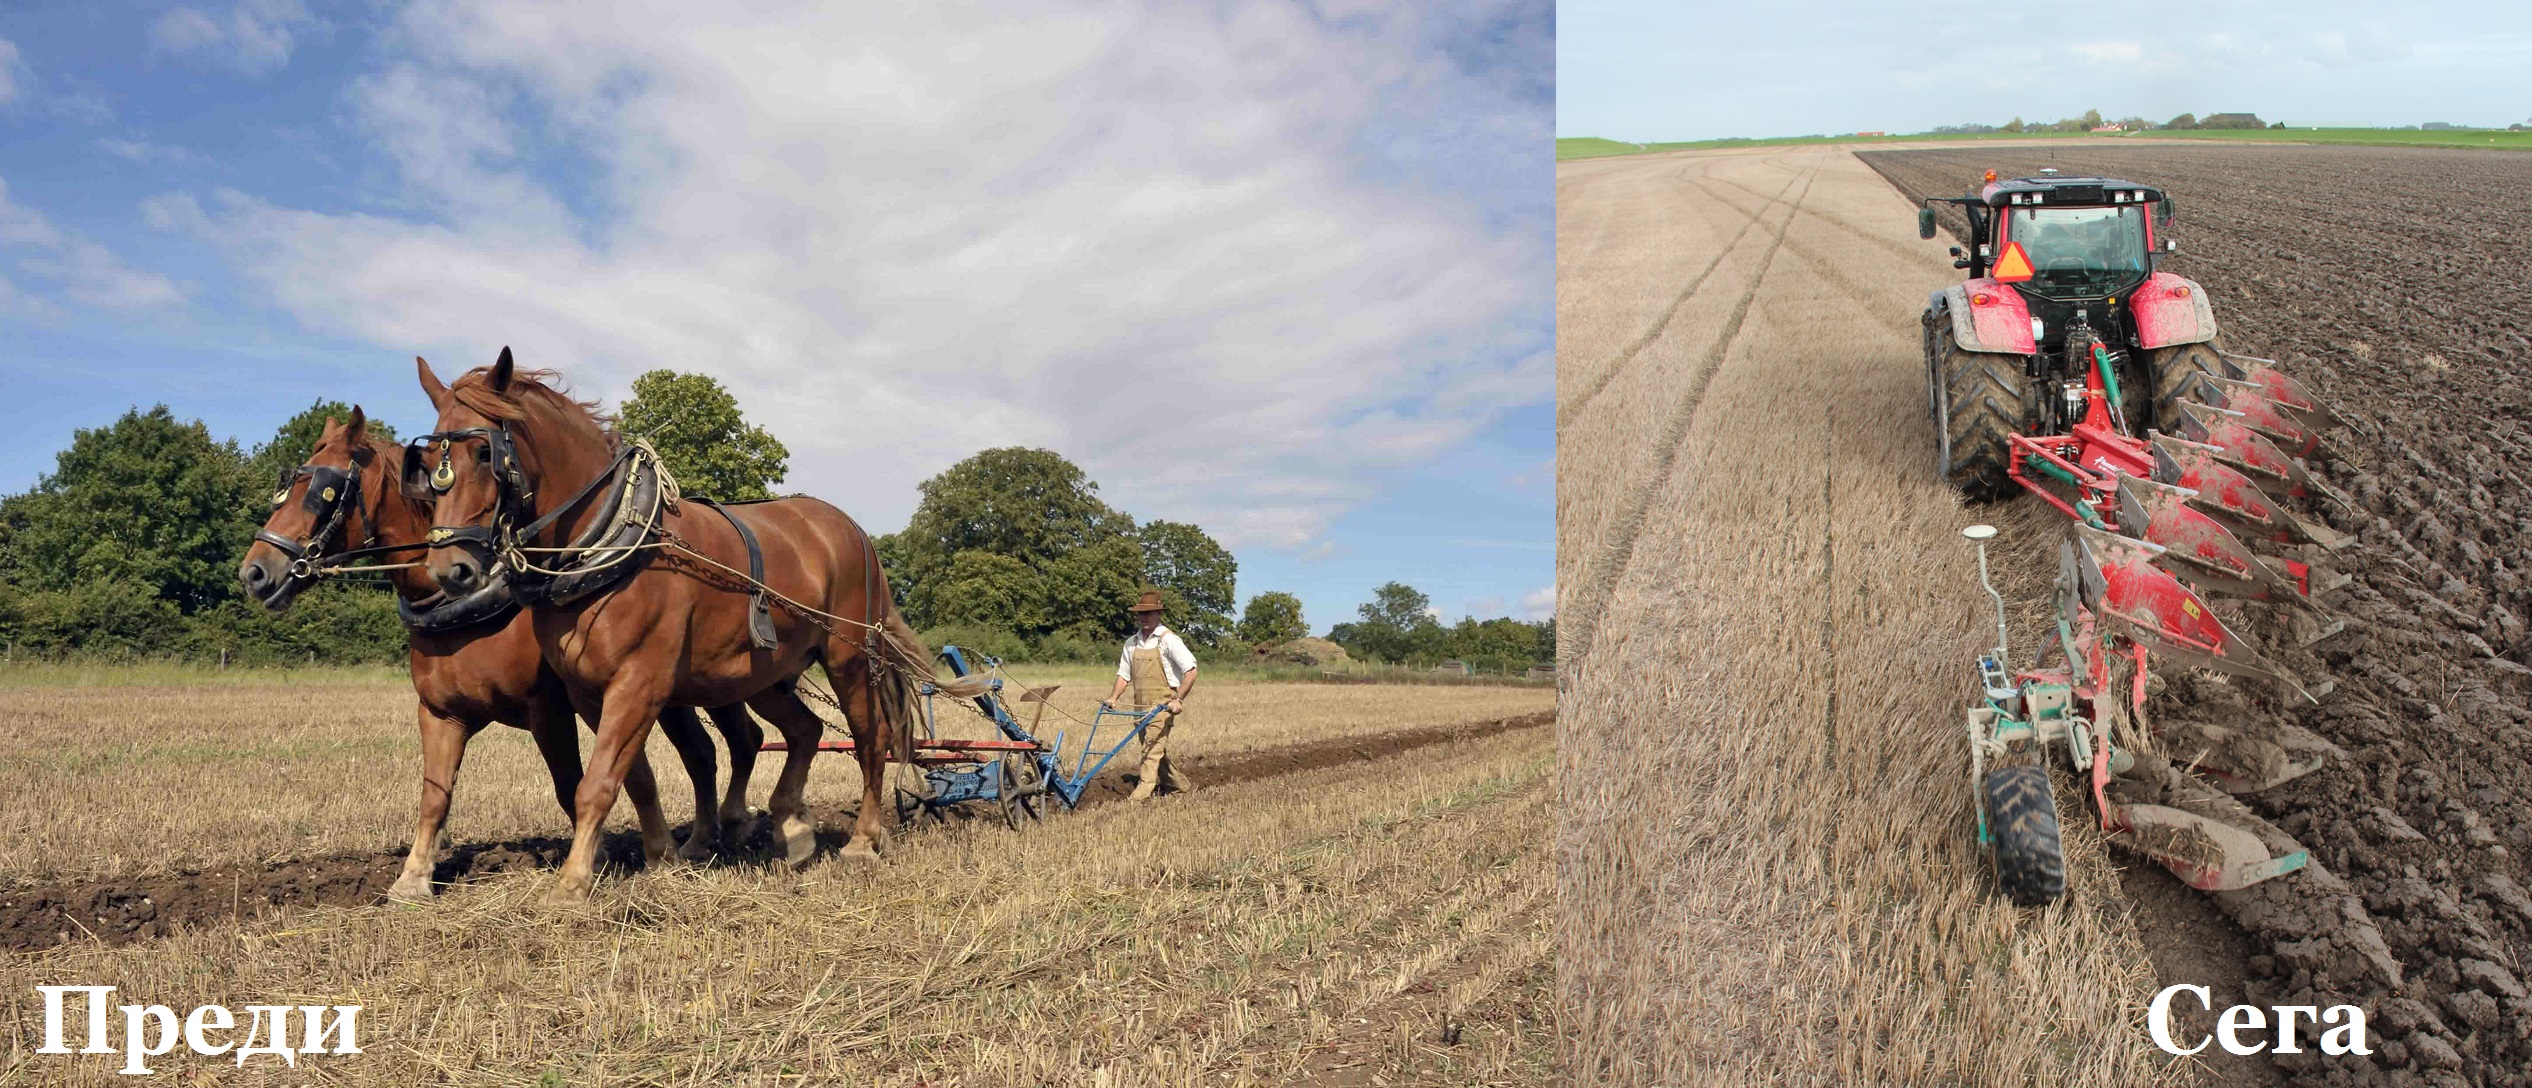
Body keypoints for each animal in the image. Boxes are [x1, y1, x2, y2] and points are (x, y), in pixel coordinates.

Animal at [239, 409, 759, 900]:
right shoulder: (440, 711)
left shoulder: (549, 710)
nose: (255, 572)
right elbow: (435, 795)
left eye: (324, 491)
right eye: (285, 487)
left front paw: (594, 861)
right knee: (707, 751)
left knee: (740, 740)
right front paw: (414, 877)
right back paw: (704, 838)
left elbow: (570, 784)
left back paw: (728, 828)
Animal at [410, 351, 972, 900]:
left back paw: (861, 841)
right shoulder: (588, 693)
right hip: (765, 675)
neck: (611, 541)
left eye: (484, 453)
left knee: (871, 739)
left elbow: (597, 783)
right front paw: (660, 858)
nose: (450, 570)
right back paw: (791, 828)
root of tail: (853, 530)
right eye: (428, 465)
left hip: (850, 657)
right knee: (804, 730)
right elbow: (631, 777)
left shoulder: (639, 683)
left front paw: (571, 882)